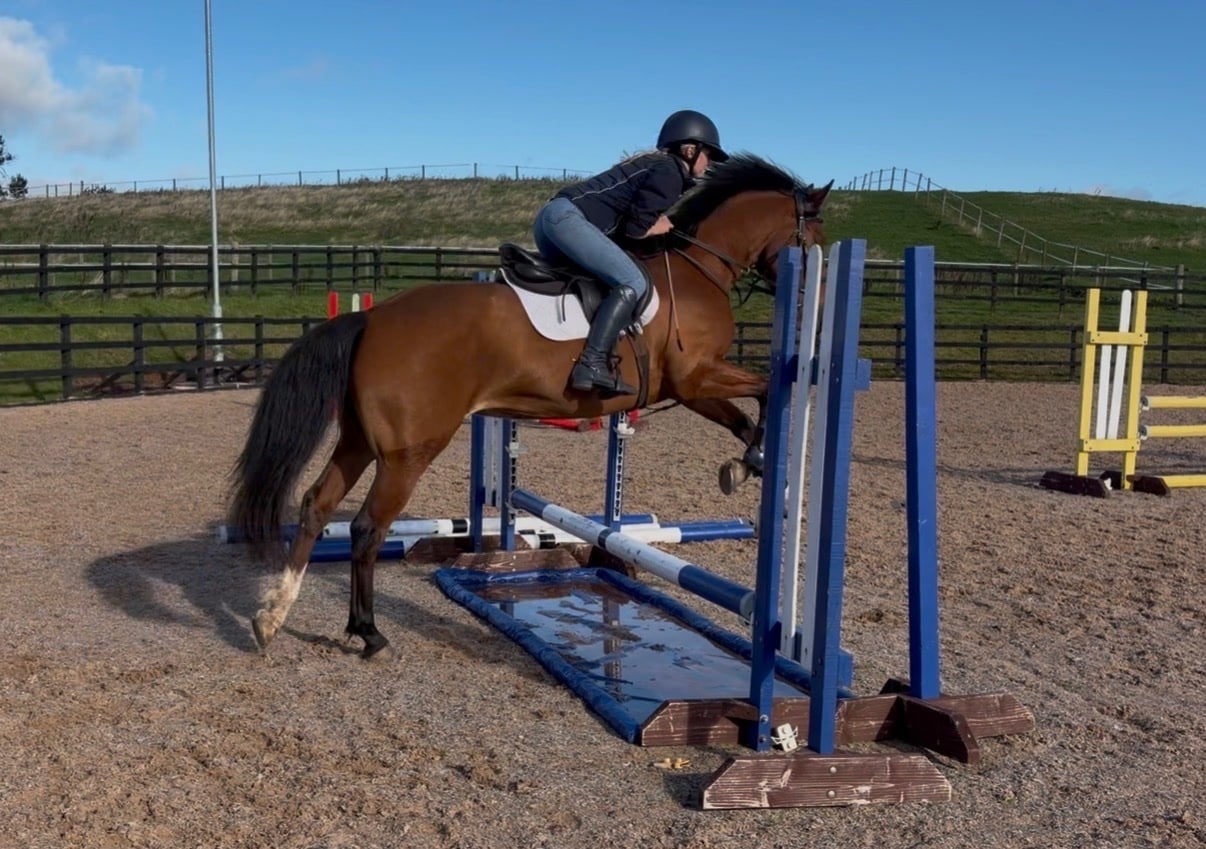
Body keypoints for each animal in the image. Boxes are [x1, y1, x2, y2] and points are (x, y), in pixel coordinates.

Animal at [228, 153, 831, 659]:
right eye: (814, 235)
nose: (817, 309)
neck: (699, 268)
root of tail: (373, 318)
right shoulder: (696, 375)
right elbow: (764, 390)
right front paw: (753, 461)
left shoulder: (691, 388)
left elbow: (744, 416)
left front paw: (746, 464)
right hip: (408, 453)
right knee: (366, 529)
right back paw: (368, 632)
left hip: (358, 440)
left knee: (316, 506)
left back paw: (272, 618)